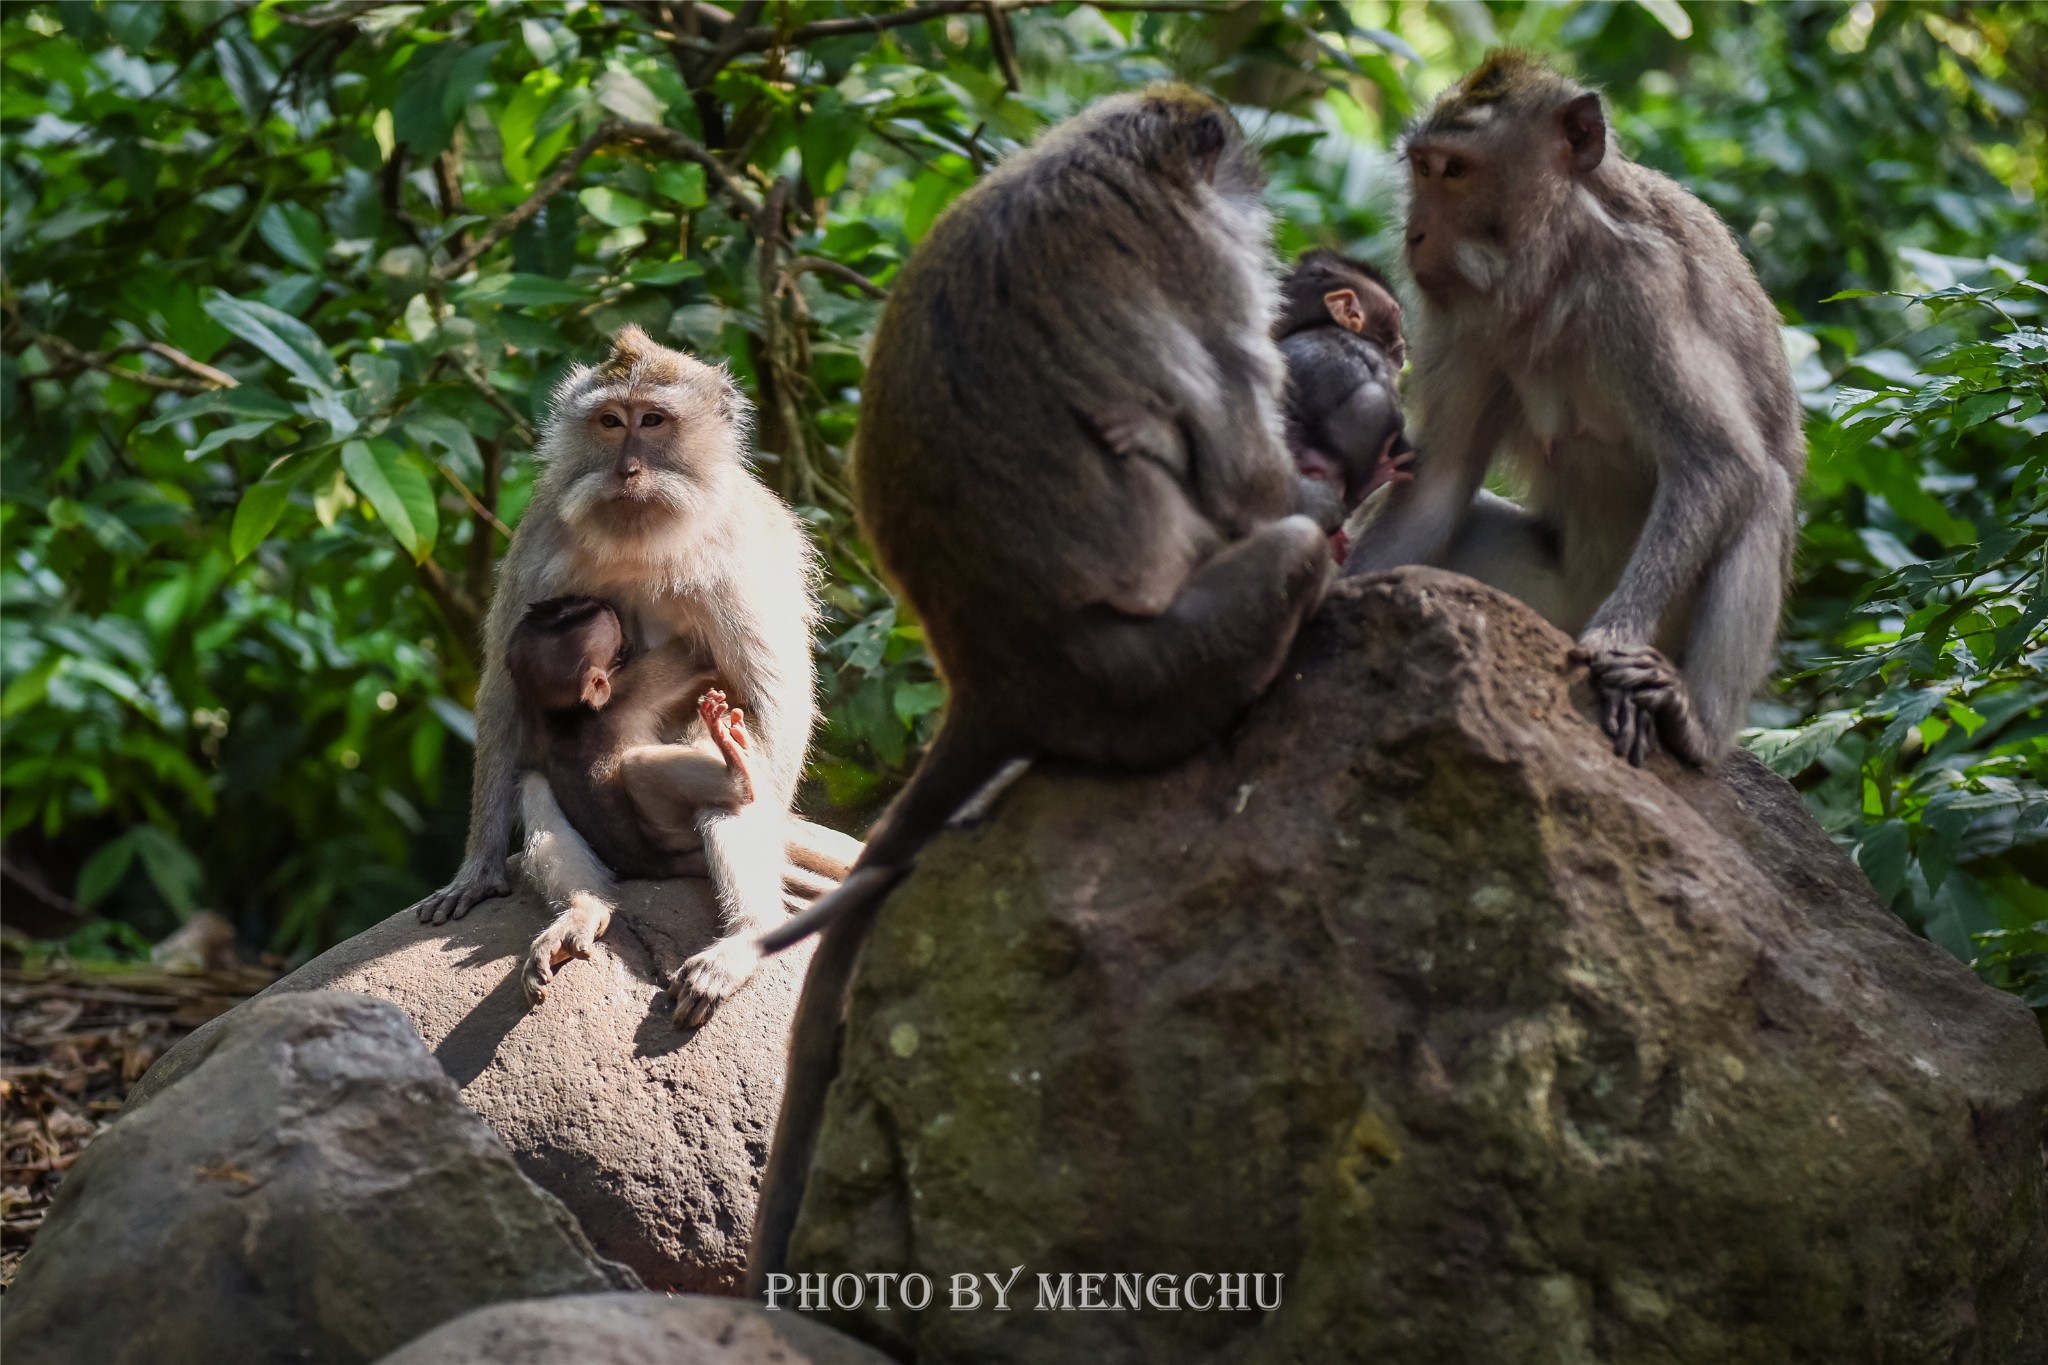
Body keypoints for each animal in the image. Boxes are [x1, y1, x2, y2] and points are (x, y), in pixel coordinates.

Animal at [501, 597, 753, 1002]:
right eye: (618, 647)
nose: (603, 602)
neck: (566, 714)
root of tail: (652, 864)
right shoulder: (632, 687)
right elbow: (696, 655)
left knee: (532, 781)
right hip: (668, 831)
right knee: (638, 766)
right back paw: (737, 774)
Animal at [745, 82, 1335, 1293]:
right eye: (1246, 179)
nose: (1271, 214)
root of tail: (991, 677)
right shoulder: (1207, 268)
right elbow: (1250, 480)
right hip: (1149, 677)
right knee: (1282, 553)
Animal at [1343, 53, 1810, 765]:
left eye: (1455, 170)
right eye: (1422, 167)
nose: (1415, 235)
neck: (1557, 266)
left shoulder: (1645, 290)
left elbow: (1720, 462)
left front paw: (1616, 641)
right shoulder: (1464, 323)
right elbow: (1439, 483)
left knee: (1766, 492)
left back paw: (1695, 723)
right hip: (1541, 597)